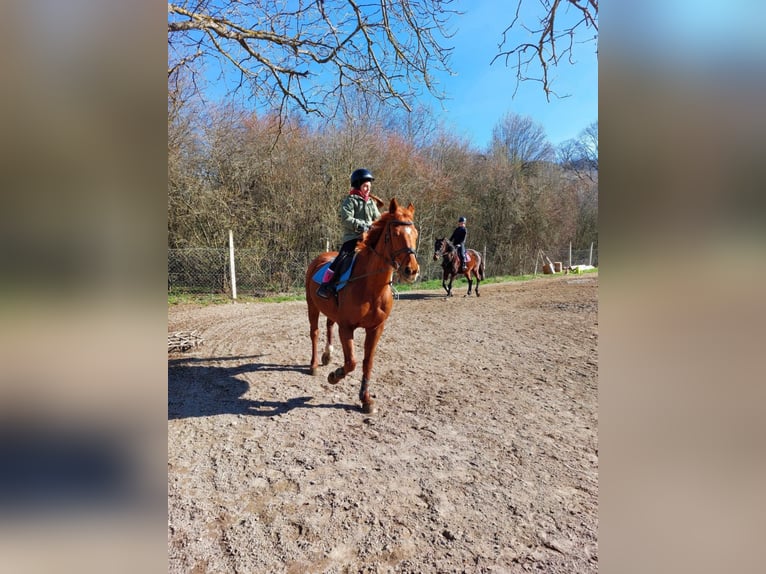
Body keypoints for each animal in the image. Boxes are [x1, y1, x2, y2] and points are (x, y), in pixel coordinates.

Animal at [305, 198, 420, 414]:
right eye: (395, 234)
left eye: (415, 234)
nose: (412, 270)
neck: (371, 287)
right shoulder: (346, 327)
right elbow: (352, 362)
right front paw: (335, 376)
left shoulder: (376, 328)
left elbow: (368, 362)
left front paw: (366, 399)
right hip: (312, 306)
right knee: (315, 333)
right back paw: (314, 365)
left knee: (329, 325)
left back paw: (327, 355)